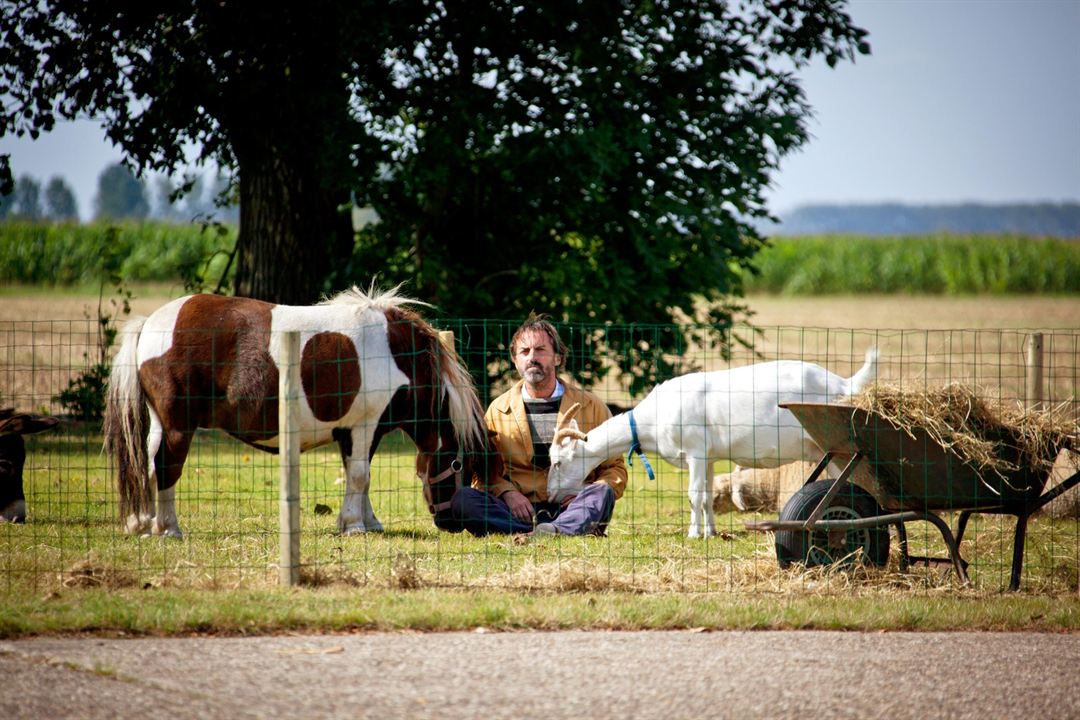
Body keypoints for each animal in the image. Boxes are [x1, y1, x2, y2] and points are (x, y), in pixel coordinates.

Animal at [104, 284, 494, 537]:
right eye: (459, 464)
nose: (450, 523)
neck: (398, 354)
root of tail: (150, 324)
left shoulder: (352, 432)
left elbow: (360, 476)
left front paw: (367, 522)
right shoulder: (364, 426)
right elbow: (359, 476)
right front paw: (354, 527)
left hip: (160, 424)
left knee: (149, 465)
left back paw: (145, 523)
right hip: (178, 425)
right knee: (166, 466)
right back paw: (169, 528)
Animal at [548, 345, 876, 537]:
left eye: (559, 462)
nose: (550, 495)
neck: (654, 417)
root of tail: (843, 383)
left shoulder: (694, 450)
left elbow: (694, 495)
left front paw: (693, 534)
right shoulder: (707, 456)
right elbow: (706, 496)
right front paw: (711, 532)